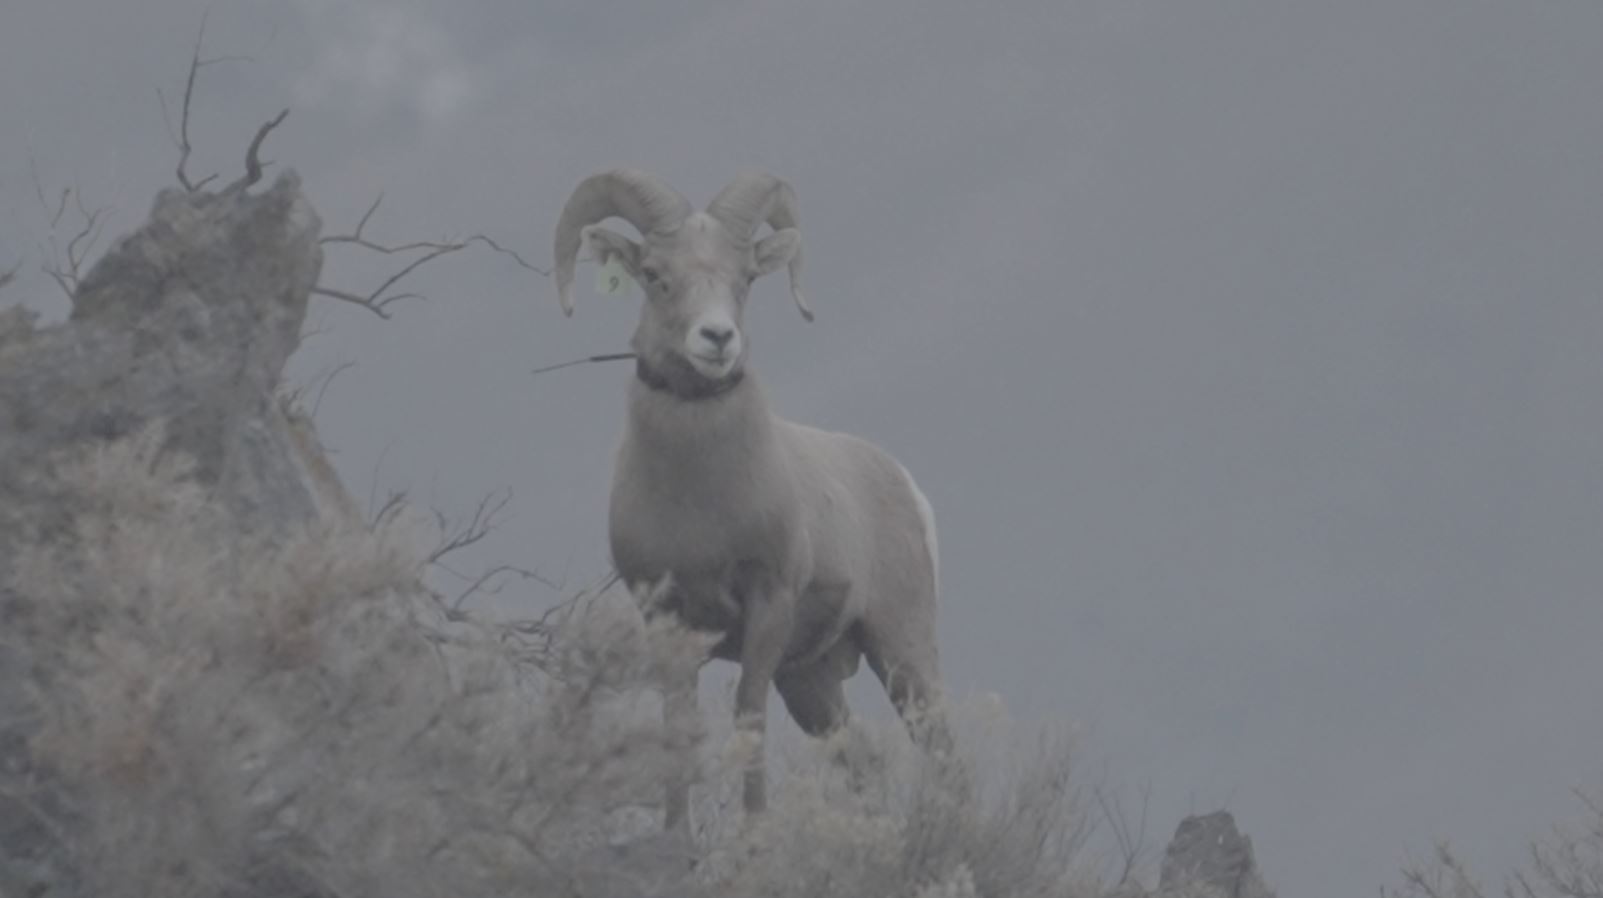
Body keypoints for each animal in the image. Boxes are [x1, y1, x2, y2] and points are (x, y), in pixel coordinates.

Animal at [552, 169, 949, 828]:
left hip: (903, 652)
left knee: (943, 751)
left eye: (745, 279)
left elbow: (748, 717)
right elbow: (678, 726)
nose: (717, 338)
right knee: (859, 760)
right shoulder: (666, 620)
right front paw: (676, 838)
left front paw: (755, 831)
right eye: (655, 274)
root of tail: (903, 485)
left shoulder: (768, 606)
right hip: (811, 682)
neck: (698, 500)